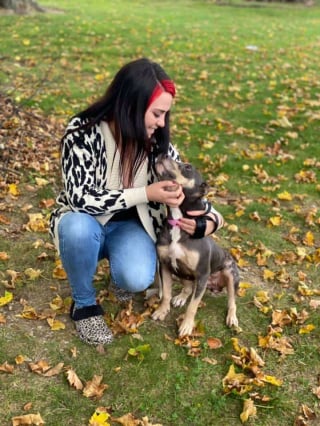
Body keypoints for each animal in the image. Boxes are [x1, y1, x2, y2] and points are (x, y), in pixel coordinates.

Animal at [151, 155, 239, 338]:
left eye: (188, 167)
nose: (163, 154)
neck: (178, 221)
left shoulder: (202, 274)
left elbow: (193, 306)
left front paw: (186, 326)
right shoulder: (165, 265)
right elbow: (166, 294)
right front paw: (162, 311)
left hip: (230, 273)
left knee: (232, 301)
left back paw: (232, 318)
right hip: (183, 272)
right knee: (188, 288)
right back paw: (180, 297)